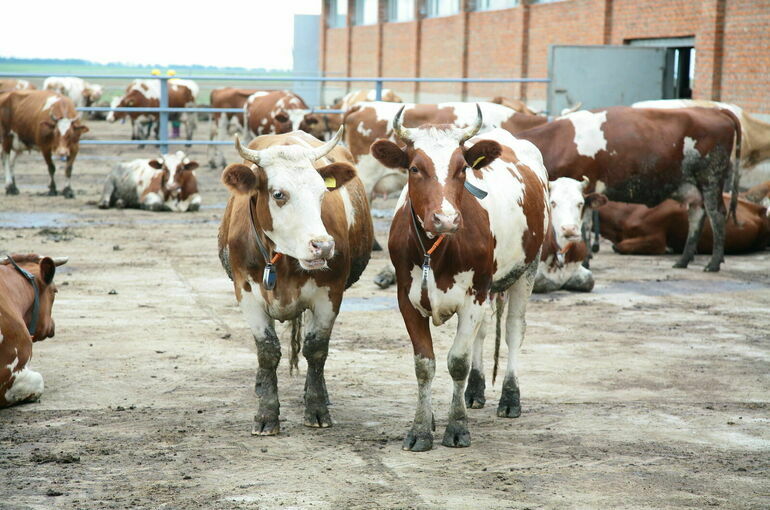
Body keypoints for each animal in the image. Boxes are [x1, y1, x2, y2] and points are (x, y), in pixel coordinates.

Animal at [216, 127, 372, 434]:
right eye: (279, 194)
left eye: (322, 192)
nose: (323, 246)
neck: (283, 261)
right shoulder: (246, 293)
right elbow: (267, 351)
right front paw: (266, 414)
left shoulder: (329, 295)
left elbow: (316, 350)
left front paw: (317, 408)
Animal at [368, 107, 548, 450]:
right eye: (414, 168)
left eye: (462, 168)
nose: (446, 219)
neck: (435, 252)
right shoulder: (407, 299)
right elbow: (425, 364)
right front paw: (422, 427)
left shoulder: (473, 296)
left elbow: (457, 362)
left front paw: (456, 427)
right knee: (483, 331)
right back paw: (474, 391)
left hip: (527, 268)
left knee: (513, 330)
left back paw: (510, 398)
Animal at [512, 106, 740, 272]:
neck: (561, 141)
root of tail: (716, 110)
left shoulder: (587, 186)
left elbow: (585, 225)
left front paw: (585, 260)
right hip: (693, 189)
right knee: (696, 216)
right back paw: (683, 261)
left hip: (711, 179)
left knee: (717, 215)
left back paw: (713, 263)